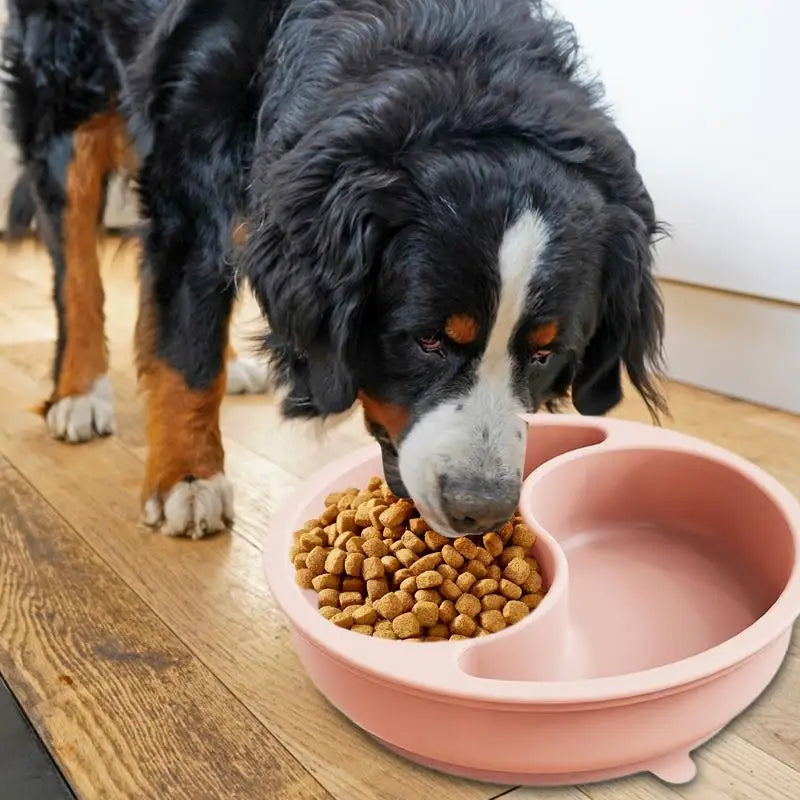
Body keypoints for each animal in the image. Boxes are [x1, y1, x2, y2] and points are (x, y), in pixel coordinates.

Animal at [0, 1, 664, 536]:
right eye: (426, 340)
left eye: (546, 354)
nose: (482, 508)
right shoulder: (191, 187)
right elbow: (185, 352)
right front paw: (187, 478)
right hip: (68, 98)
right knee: (75, 266)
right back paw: (79, 392)